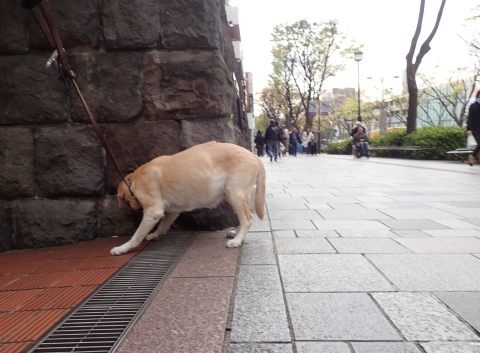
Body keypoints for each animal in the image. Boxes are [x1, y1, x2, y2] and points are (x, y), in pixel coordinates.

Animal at [109, 141, 266, 256]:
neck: (133, 181)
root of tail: (253, 155)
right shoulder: (172, 212)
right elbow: (163, 225)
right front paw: (155, 234)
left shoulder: (153, 212)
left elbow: (136, 236)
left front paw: (123, 248)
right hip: (231, 196)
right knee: (245, 216)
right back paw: (236, 233)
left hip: (235, 193)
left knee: (247, 219)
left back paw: (237, 240)